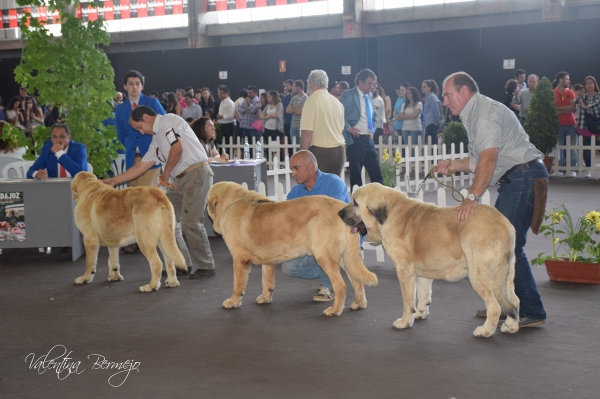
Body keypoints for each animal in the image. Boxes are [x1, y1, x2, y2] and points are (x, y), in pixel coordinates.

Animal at [206, 183, 376, 318]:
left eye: (207, 204)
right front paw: (265, 298)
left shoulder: (240, 259)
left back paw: (334, 310)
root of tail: (341, 211)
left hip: (324, 257)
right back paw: (359, 304)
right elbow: (267, 281)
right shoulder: (268, 261)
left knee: (341, 285)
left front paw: (233, 301)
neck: (231, 203)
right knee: (357, 282)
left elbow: (238, 285)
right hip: (346, 258)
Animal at [340, 184, 516, 338]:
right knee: (514, 301)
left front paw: (405, 321)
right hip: (507, 275)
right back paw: (511, 326)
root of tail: (503, 225)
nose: (339, 213)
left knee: (495, 306)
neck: (391, 212)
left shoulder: (404, 272)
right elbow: (423, 295)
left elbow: (408, 300)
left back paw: (485, 331)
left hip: (479, 275)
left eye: (355, 202)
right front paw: (420, 313)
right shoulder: (423, 273)